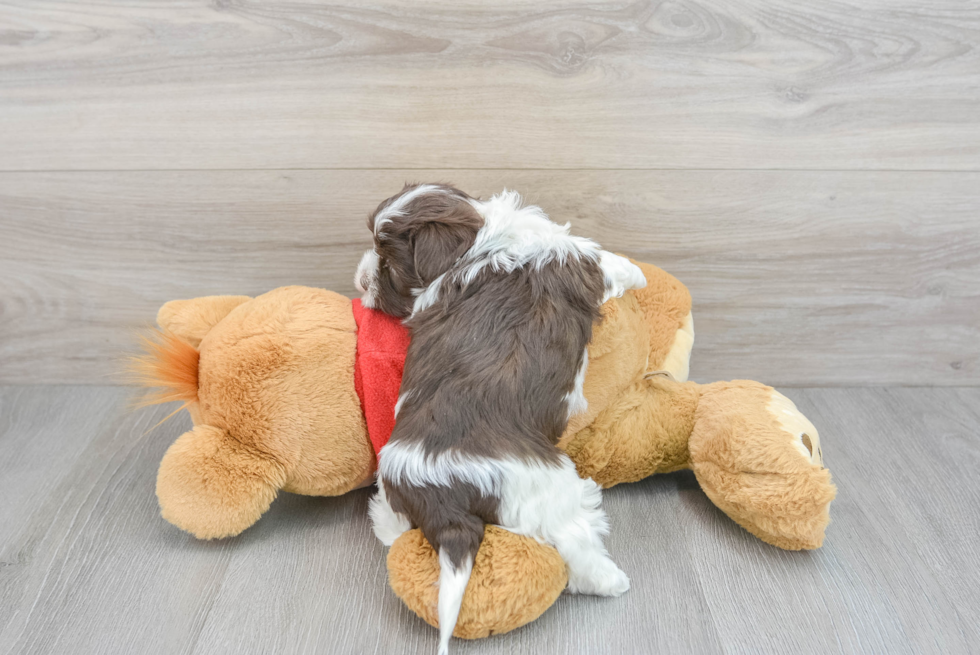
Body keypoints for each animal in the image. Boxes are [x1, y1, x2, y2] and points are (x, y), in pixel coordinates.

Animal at [356, 184, 648, 655]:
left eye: (387, 261)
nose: (362, 278)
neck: (479, 239)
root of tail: (442, 500)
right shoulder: (579, 261)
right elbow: (613, 262)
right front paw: (639, 273)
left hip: (392, 499)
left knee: (388, 530)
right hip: (548, 488)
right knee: (575, 543)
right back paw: (610, 579)